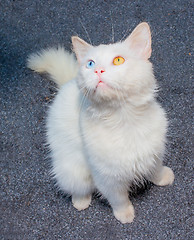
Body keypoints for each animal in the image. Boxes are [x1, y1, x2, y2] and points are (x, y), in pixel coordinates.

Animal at [26, 22, 174, 223]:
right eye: (90, 64)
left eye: (118, 60)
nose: (98, 71)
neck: (124, 119)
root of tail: (67, 83)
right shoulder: (107, 178)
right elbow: (119, 199)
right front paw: (125, 215)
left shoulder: (154, 152)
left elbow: (156, 170)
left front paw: (164, 178)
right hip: (74, 170)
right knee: (77, 188)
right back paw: (81, 202)